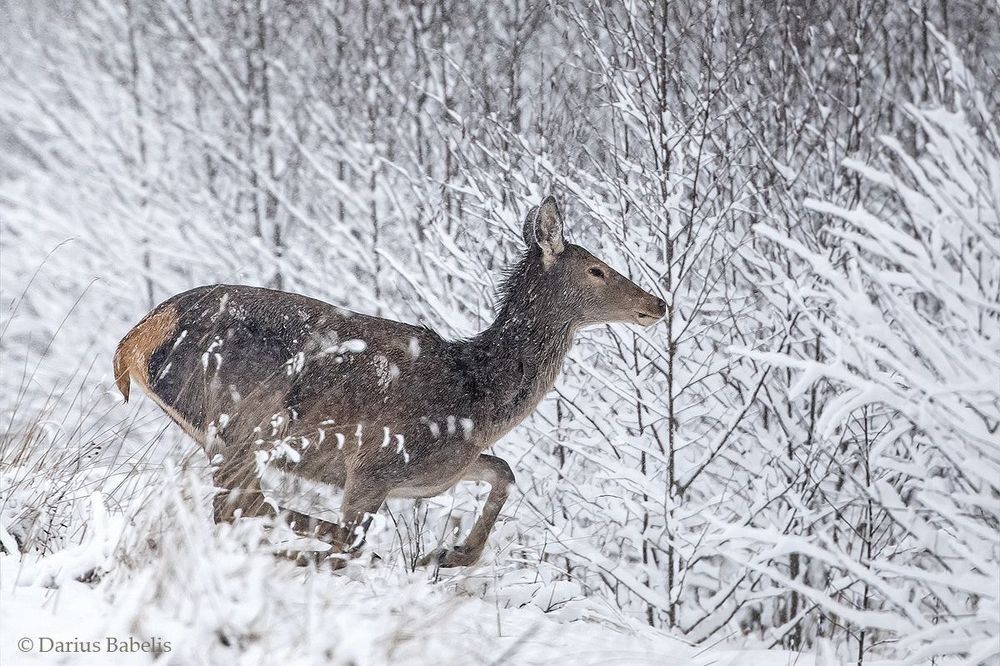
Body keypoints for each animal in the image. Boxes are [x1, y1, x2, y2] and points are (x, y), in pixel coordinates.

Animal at [113, 196, 666, 568]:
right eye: (597, 269)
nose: (657, 303)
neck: (478, 399)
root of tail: (136, 339)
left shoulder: (434, 471)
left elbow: (504, 470)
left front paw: (449, 555)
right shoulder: (375, 463)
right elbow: (351, 538)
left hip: (228, 432)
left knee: (241, 504)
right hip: (245, 419)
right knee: (244, 504)